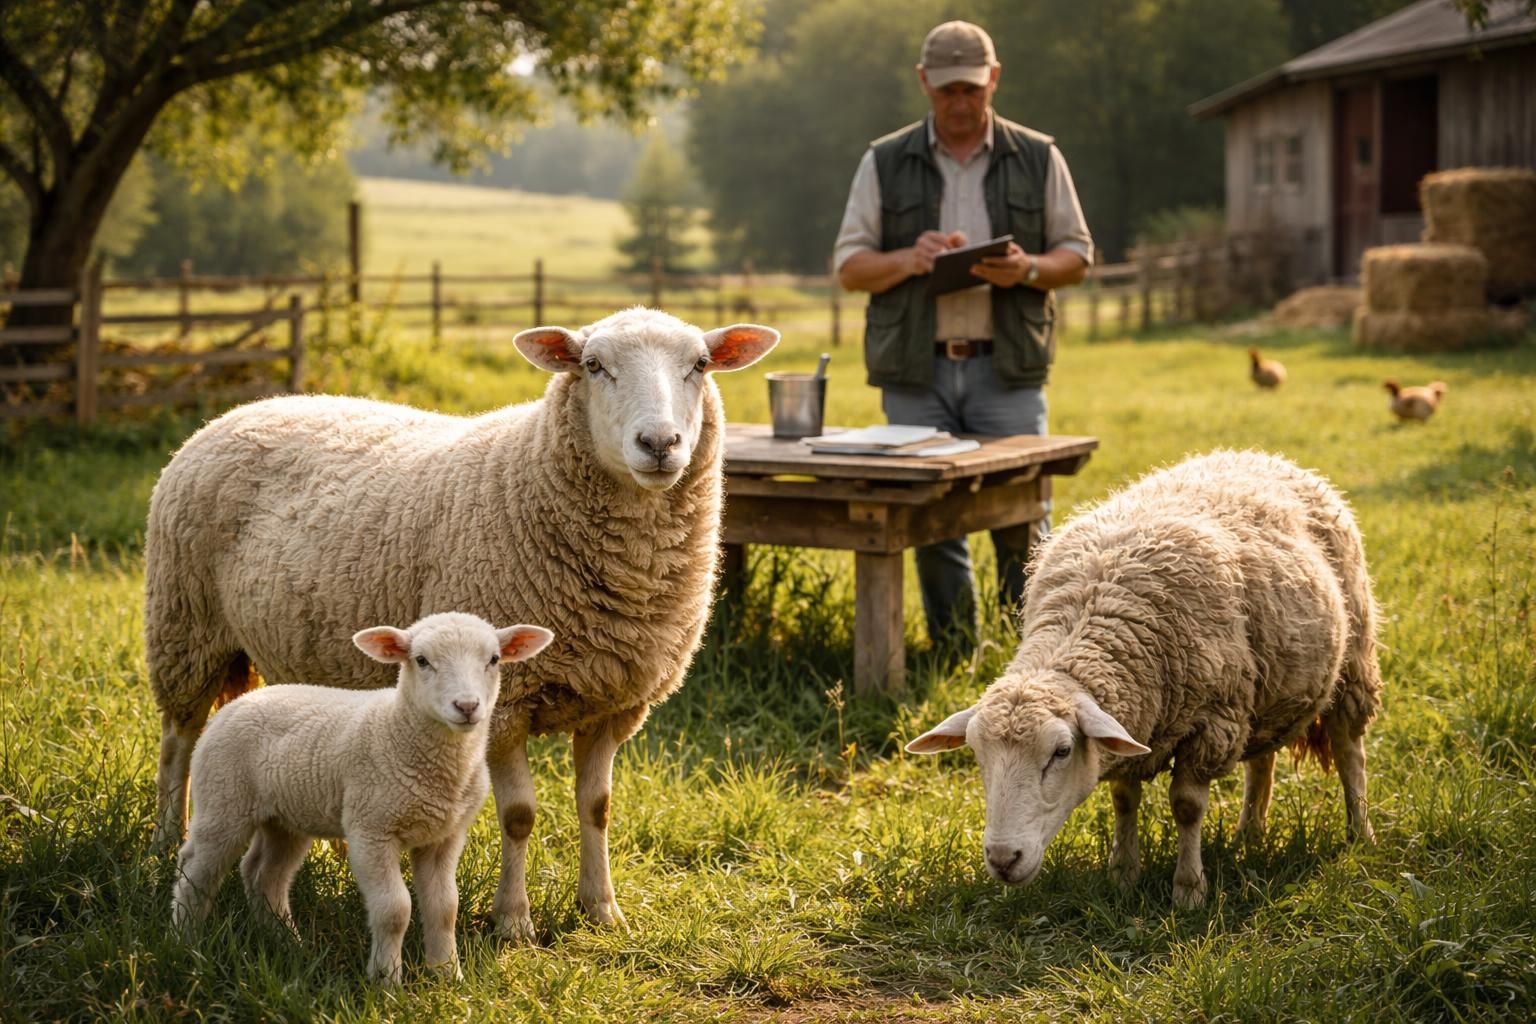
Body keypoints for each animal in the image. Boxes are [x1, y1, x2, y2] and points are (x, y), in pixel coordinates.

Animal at [146, 307, 780, 940]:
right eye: (594, 365)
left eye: (700, 364)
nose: (659, 443)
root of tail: (242, 409)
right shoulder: (506, 705)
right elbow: (520, 815)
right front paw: (513, 921)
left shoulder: (613, 704)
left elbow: (597, 808)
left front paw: (601, 909)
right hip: (184, 625)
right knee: (178, 742)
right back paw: (163, 841)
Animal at [171, 612, 554, 984]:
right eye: (421, 660)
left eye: (493, 659)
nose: (467, 706)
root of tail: (234, 705)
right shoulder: (371, 830)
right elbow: (394, 909)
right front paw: (386, 980)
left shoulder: (443, 836)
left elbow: (445, 907)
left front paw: (447, 976)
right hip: (224, 799)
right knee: (196, 868)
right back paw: (184, 942)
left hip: (285, 817)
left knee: (264, 874)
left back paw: (286, 941)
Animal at [907, 449, 1382, 906]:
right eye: (975, 753)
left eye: (1061, 752)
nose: (1004, 859)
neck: (1097, 609)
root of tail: (1263, 456)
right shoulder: (1135, 719)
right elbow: (1123, 800)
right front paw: (1123, 875)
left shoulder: (1213, 722)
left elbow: (1187, 806)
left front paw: (1188, 891)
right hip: (1265, 686)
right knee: (1261, 760)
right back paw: (1249, 833)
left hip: (1353, 660)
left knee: (1348, 751)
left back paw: (1360, 833)